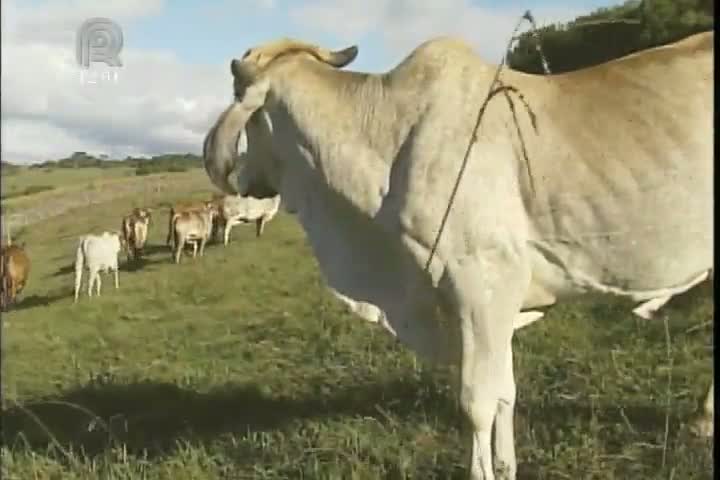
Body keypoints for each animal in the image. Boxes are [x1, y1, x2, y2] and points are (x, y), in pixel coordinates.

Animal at [204, 32, 716, 480]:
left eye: (243, 101)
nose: (245, 179)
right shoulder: (478, 301)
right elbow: (505, 391)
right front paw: (507, 467)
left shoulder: (483, 283)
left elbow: (477, 399)